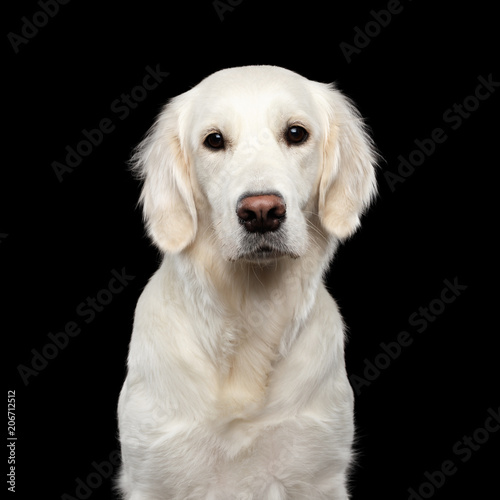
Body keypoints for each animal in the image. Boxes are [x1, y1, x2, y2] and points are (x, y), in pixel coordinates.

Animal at [116, 64, 376, 498]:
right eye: (214, 140)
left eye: (296, 133)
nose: (261, 212)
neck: (250, 309)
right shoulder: (153, 476)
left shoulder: (318, 474)